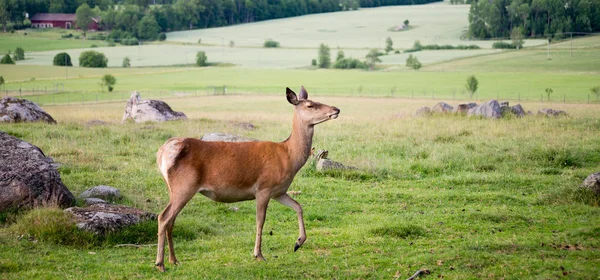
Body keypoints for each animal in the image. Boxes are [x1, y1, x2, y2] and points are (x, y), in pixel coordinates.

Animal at [155, 86, 340, 272]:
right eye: (310, 105)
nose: (336, 109)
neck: (288, 156)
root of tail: (163, 152)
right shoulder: (264, 187)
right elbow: (260, 221)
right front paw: (258, 254)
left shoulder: (279, 191)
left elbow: (298, 207)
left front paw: (298, 243)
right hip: (185, 186)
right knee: (163, 217)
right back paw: (160, 264)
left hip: (175, 189)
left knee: (171, 220)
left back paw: (174, 260)